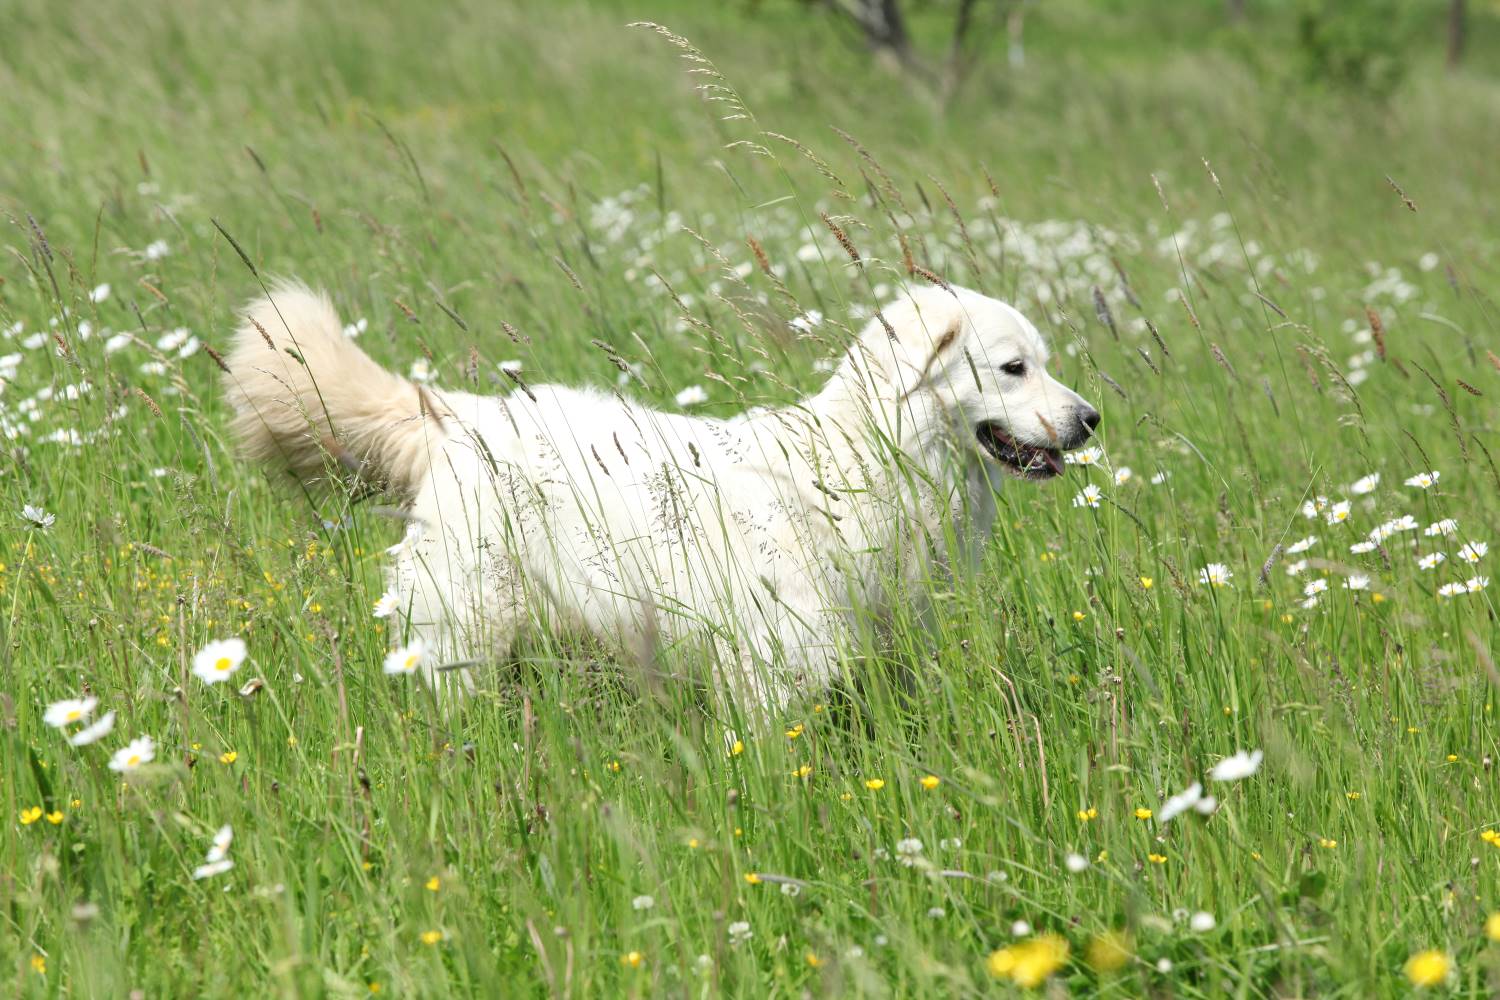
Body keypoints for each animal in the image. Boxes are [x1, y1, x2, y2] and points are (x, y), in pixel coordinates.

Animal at [225, 283, 1092, 710]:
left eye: (1044, 362)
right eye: (1014, 368)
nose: (1092, 419)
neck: (860, 457)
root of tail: (462, 413)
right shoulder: (778, 662)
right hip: (468, 626)